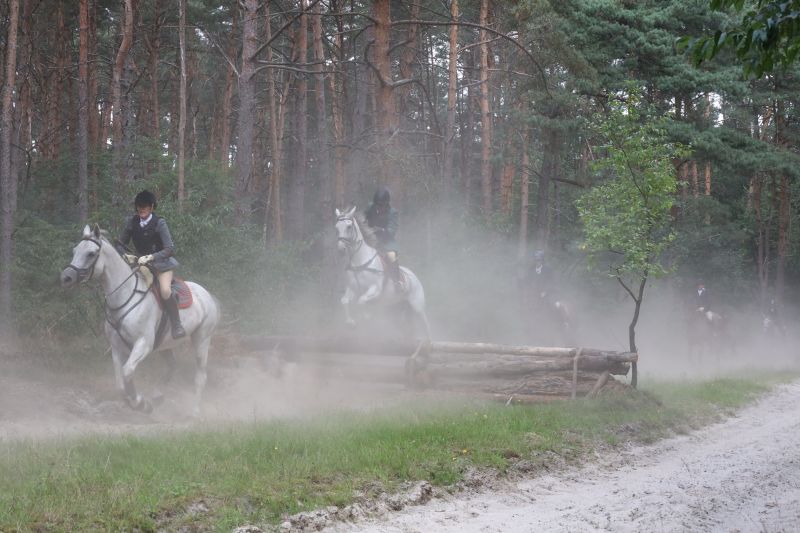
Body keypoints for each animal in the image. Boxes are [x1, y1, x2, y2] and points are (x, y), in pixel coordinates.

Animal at [60, 224, 221, 416]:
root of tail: (207, 294)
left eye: (91, 253)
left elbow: (127, 371)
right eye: (75, 250)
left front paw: (140, 403)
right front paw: (137, 401)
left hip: (201, 340)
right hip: (164, 344)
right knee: (172, 366)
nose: (66, 278)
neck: (125, 294)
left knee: (200, 376)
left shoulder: (143, 344)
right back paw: (158, 395)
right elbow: (120, 383)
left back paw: (194, 411)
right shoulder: (117, 347)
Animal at [334, 206, 430, 339]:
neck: (360, 261)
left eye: (349, 226)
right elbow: (345, 301)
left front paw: (365, 316)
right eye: (337, 227)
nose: (341, 249)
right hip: (396, 309)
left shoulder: (375, 289)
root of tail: (414, 277)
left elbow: (361, 301)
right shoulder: (352, 289)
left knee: (425, 325)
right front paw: (351, 323)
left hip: (417, 306)